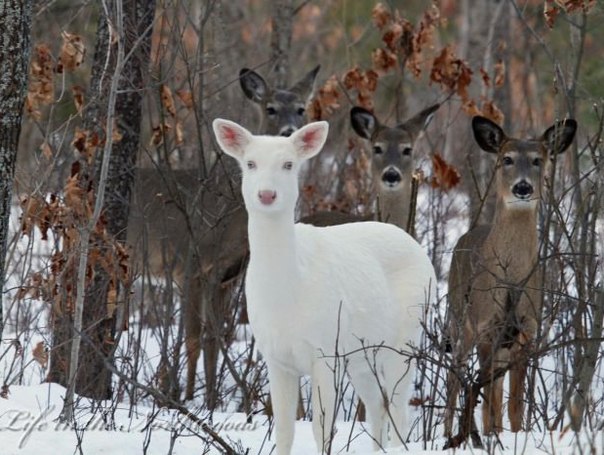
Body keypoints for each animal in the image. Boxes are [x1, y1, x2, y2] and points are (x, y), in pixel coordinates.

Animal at [212, 119, 434, 454]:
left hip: (406, 335)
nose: (267, 194)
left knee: (399, 408)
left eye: (289, 164)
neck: (287, 294)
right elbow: (284, 430)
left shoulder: (325, 349)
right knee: (377, 403)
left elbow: (322, 428)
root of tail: (418, 247)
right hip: (360, 354)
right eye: (250, 163)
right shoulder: (276, 357)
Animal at [444, 115, 576, 442]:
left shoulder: (527, 329)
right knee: (455, 377)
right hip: (459, 319)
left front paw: (517, 436)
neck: (512, 278)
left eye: (538, 160)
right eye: (507, 159)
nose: (523, 187)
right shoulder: (485, 326)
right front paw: (492, 438)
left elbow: (515, 400)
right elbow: (488, 395)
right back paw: (448, 432)